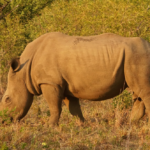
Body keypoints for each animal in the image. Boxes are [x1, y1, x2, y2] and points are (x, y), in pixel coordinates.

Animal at [0, 32, 148, 125]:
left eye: (7, 99)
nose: (3, 121)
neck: (24, 71)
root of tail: (148, 47)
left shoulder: (50, 82)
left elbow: (54, 107)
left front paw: (50, 126)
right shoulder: (64, 85)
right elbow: (74, 108)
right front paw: (82, 125)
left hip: (137, 55)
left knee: (144, 92)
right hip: (132, 57)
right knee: (138, 93)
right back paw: (130, 124)